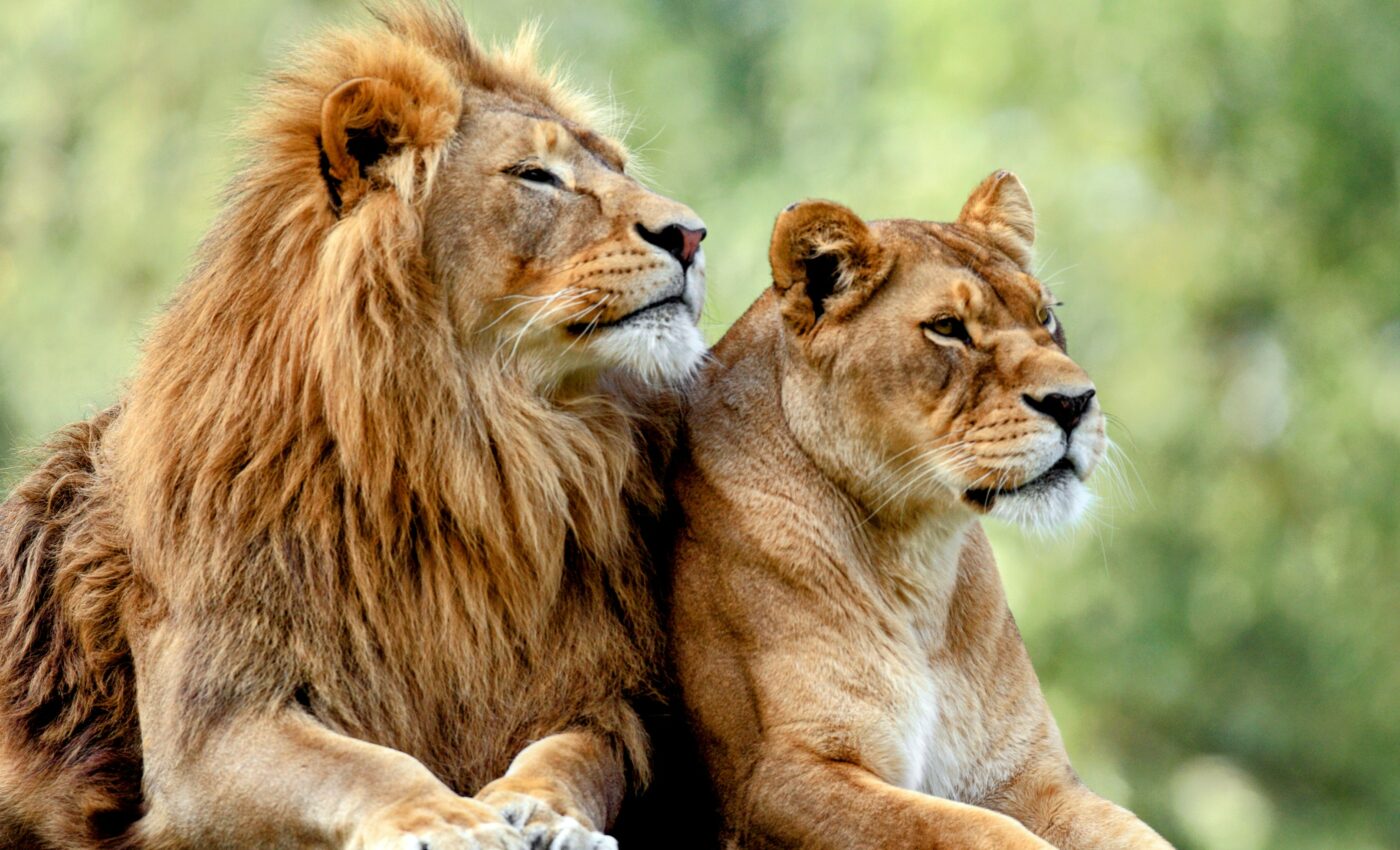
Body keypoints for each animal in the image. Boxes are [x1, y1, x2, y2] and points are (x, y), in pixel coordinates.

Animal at [0, 4, 708, 849]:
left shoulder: (607, 696)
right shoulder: (208, 727)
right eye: (535, 176)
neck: (478, 452)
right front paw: (451, 820)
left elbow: (575, 755)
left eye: (619, 166)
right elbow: (362, 765)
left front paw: (544, 811)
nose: (693, 234)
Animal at [665, 173, 1175, 849]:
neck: (917, 560)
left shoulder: (1027, 775)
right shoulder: (777, 779)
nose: (1075, 402)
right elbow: (974, 831)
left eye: (1046, 316)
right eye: (948, 327)